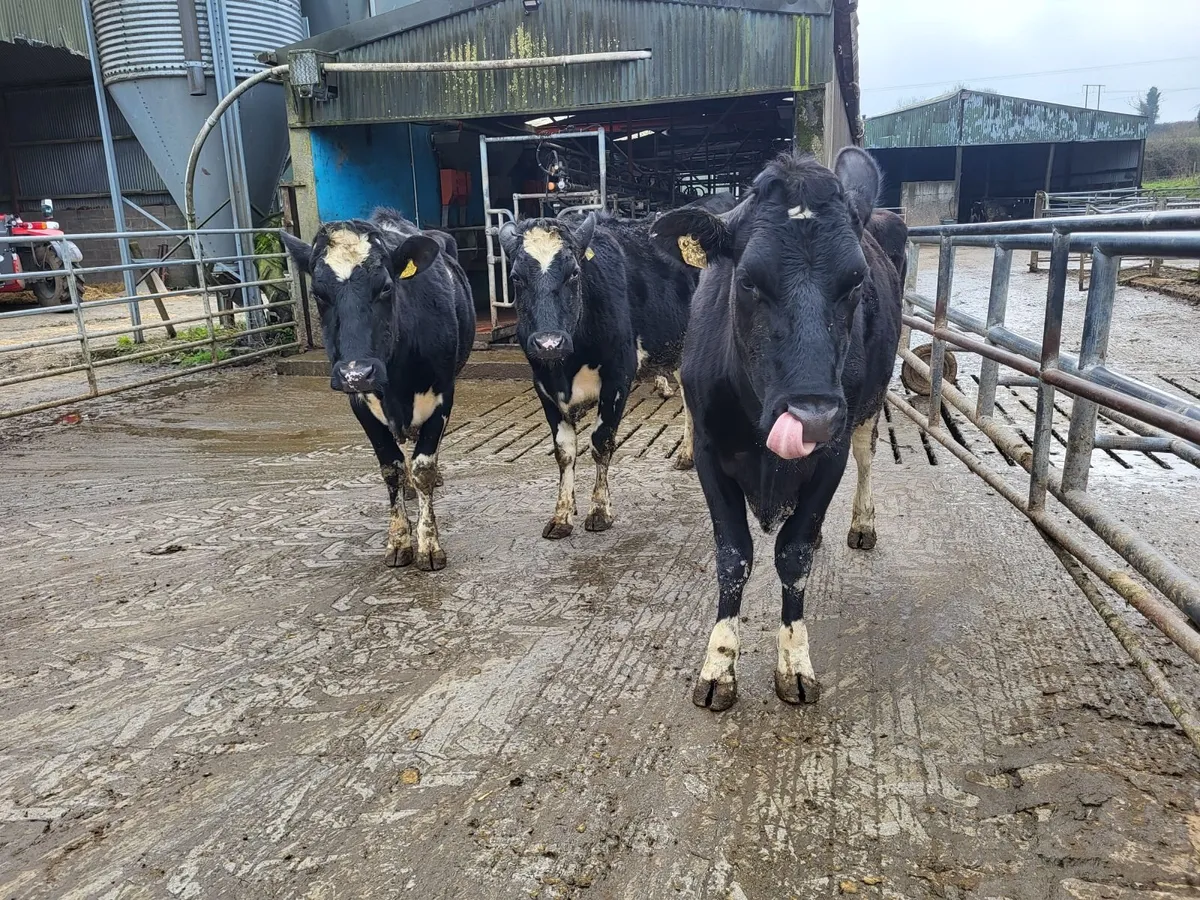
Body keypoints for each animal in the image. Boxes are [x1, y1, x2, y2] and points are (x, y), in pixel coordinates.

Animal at [281, 208, 474, 571]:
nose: (356, 372)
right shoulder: (359, 403)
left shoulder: (444, 394)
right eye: (318, 294)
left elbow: (424, 467)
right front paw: (399, 540)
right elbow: (391, 469)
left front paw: (429, 544)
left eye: (385, 287)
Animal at [650, 148, 905, 711]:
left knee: (867, 459)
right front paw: (719, 665)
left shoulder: (829, 455)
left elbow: (793, 556)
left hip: (868, 407)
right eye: (747, 279)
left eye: (855, 281)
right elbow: (733, 557)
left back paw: (861, 523)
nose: (813, 417)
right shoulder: (708, 452)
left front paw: (794, 661)